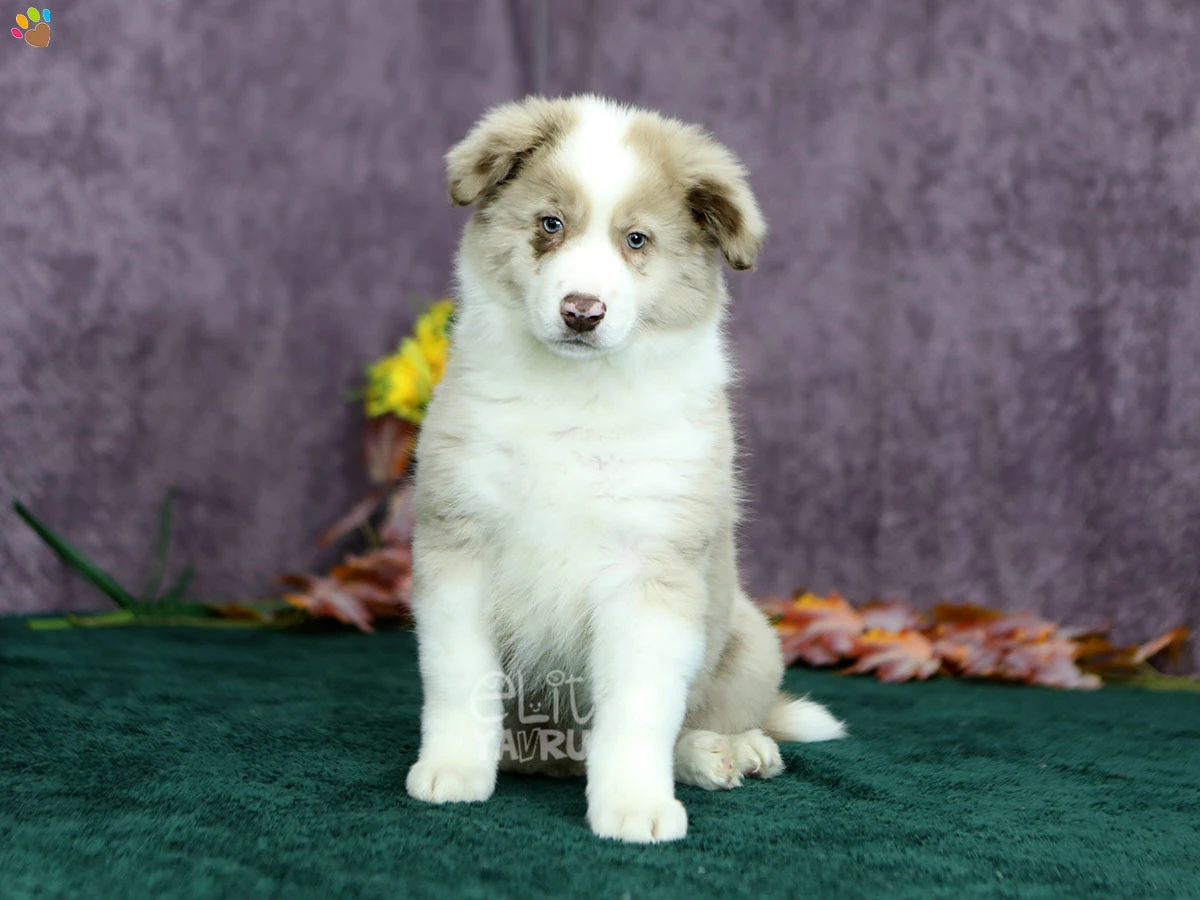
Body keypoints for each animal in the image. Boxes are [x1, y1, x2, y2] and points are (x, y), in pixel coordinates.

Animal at [403, 95, 844, 844]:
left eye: (636, 240)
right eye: (550, 223)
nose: (582, 312)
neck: (575, 395)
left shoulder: (652, 570)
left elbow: (640, 705)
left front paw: (634, 807)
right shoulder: (458, 545)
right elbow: (462, 678)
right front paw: (453, 772)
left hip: (751, 639)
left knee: (708, 717)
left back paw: (729, 752)